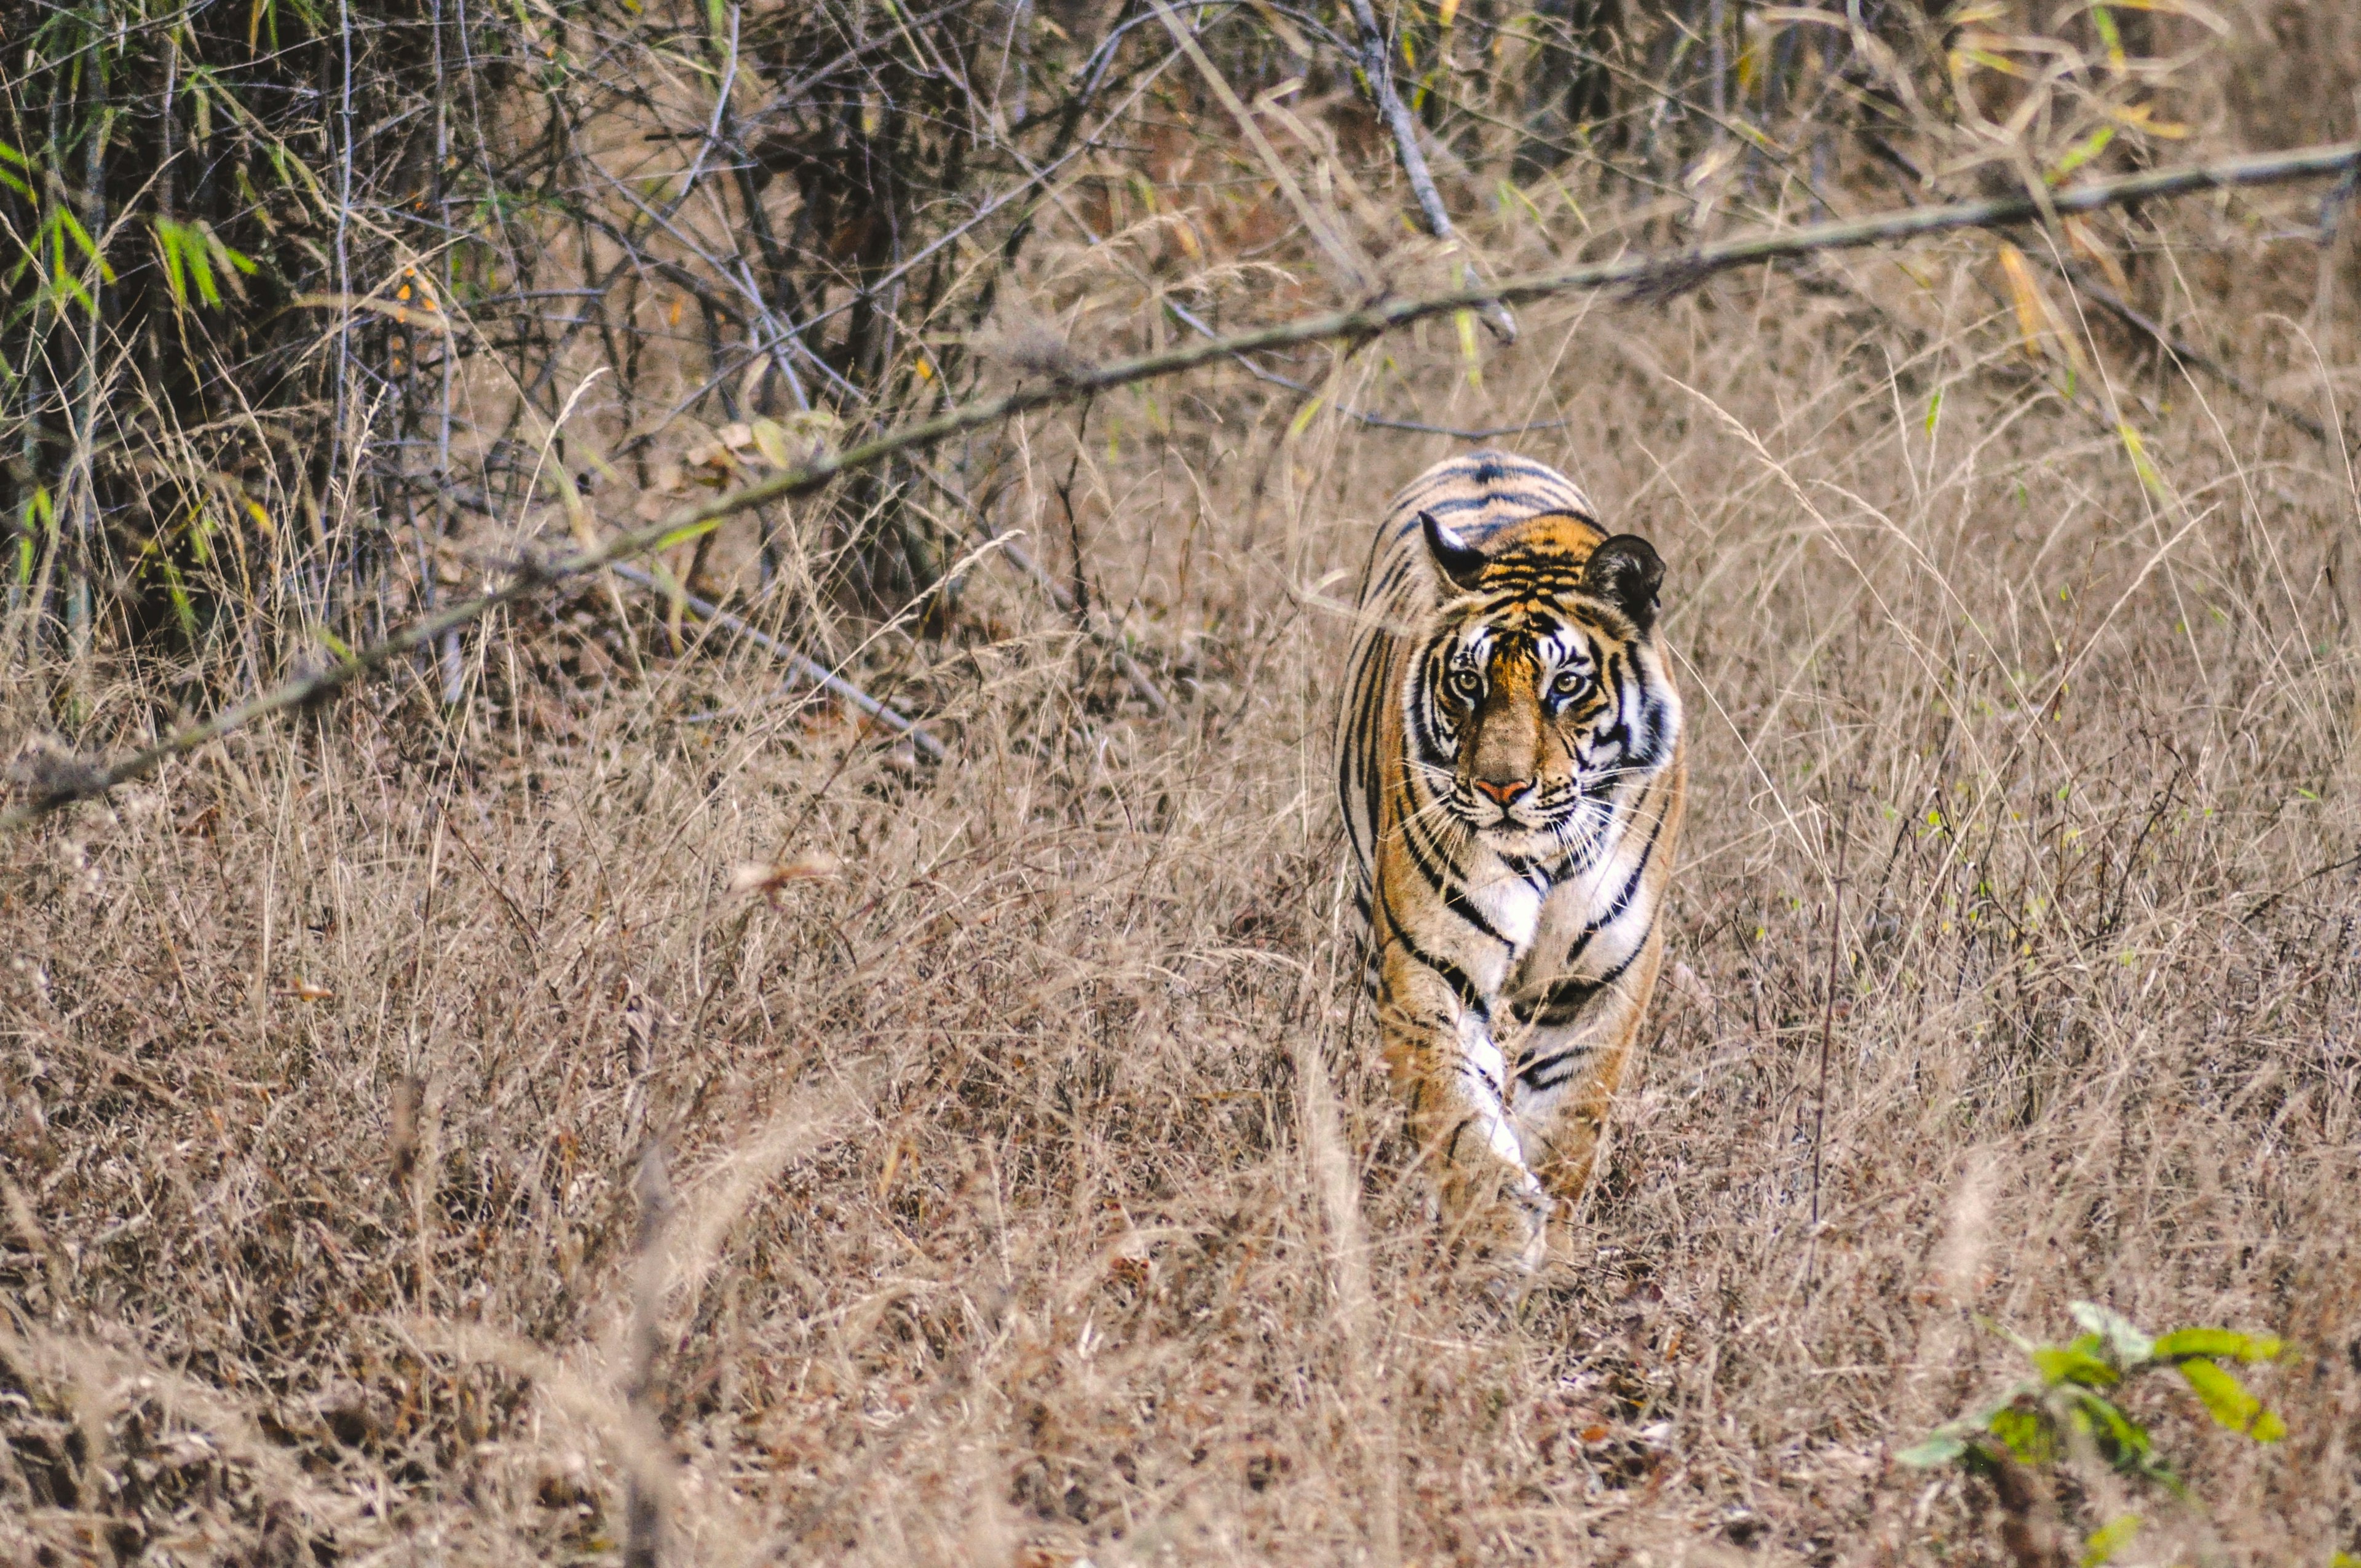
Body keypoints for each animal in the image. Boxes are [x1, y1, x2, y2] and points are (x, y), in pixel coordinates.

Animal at [1341, 446, 1690, 1265]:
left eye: (1568, 685)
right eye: (1468, 682)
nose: (1501, 788)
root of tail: (1483, 453)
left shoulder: (1602, 979)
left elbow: (1571, 1118)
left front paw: (1552, 1247)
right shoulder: (1429, 967)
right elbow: (1457, 1115)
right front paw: (1496, 1237)